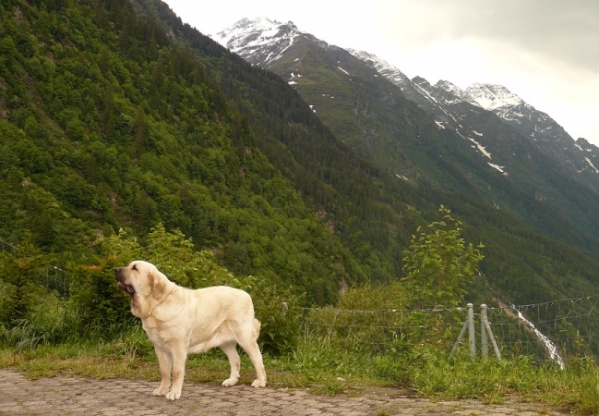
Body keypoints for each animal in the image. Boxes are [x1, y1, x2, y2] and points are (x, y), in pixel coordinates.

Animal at [115, 260, 268, 400]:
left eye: (135, 268)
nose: (115, 269)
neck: (158, 304)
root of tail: (246, 294)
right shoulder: (160, 348)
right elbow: (164, 371)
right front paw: (162, 390)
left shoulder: (178, 347)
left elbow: (176, 372)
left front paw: (174, 393)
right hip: (225, 342)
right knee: (235, 358)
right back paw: (231, 381)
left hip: (244, 337)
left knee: (257, 358)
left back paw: (260, 381)